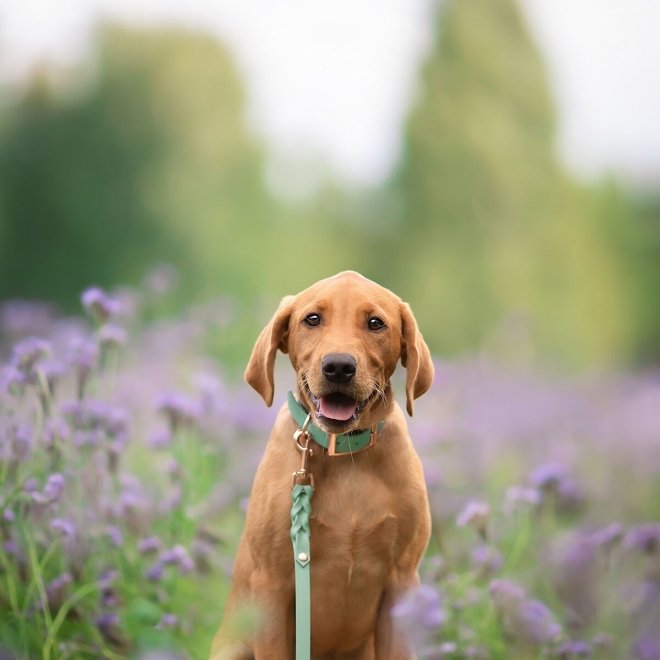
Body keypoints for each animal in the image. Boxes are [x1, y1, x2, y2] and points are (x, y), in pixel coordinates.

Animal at [211, 270, 436, 656]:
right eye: (312, 319)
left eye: (376, 323)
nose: (339, 367)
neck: (345, 453)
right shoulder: (271, 584)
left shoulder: (402, 580)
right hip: (233, 648)